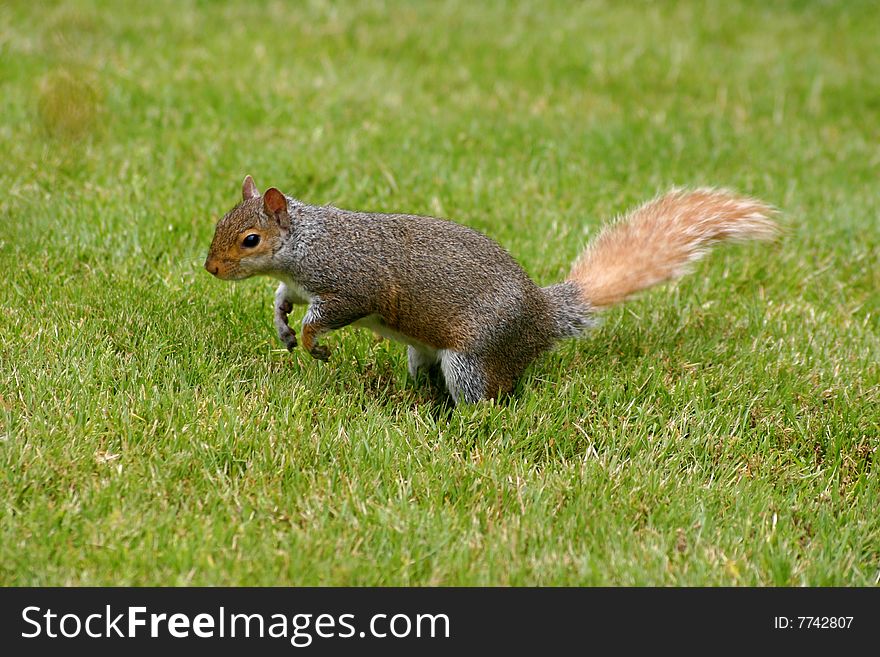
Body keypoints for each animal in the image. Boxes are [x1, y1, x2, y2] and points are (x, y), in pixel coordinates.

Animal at [206, 174, 776, 402]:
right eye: (219, 223)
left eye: (250, 239)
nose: (211, 269)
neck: (308, 241)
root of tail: (542, 317)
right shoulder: (299, 285)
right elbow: (284, 300)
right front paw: (282, 328)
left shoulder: (348, 285)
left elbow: (327, 315)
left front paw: (311, 343)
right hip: (424, 352)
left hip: (474, 359)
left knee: (485, 398)